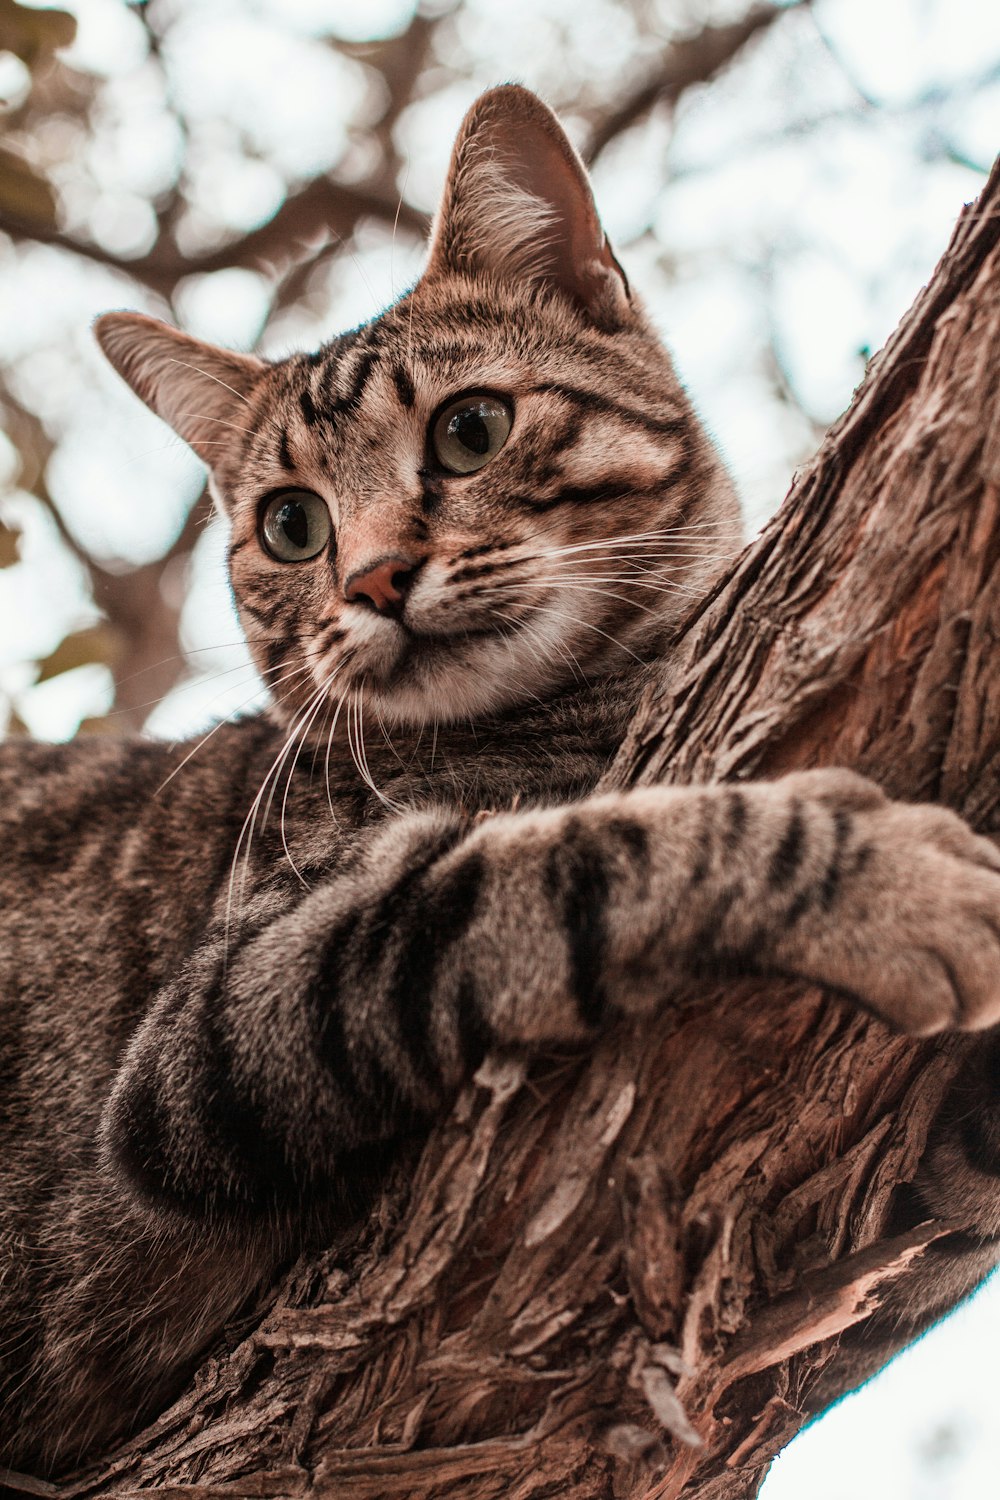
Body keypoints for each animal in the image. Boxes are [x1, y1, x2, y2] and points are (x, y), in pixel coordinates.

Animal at [1, 82, 1000, 1476]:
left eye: (469, 430)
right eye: (291, 525)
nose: (372, 578)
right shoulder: (211, 1037)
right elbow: (572, 858)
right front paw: (876, 878)